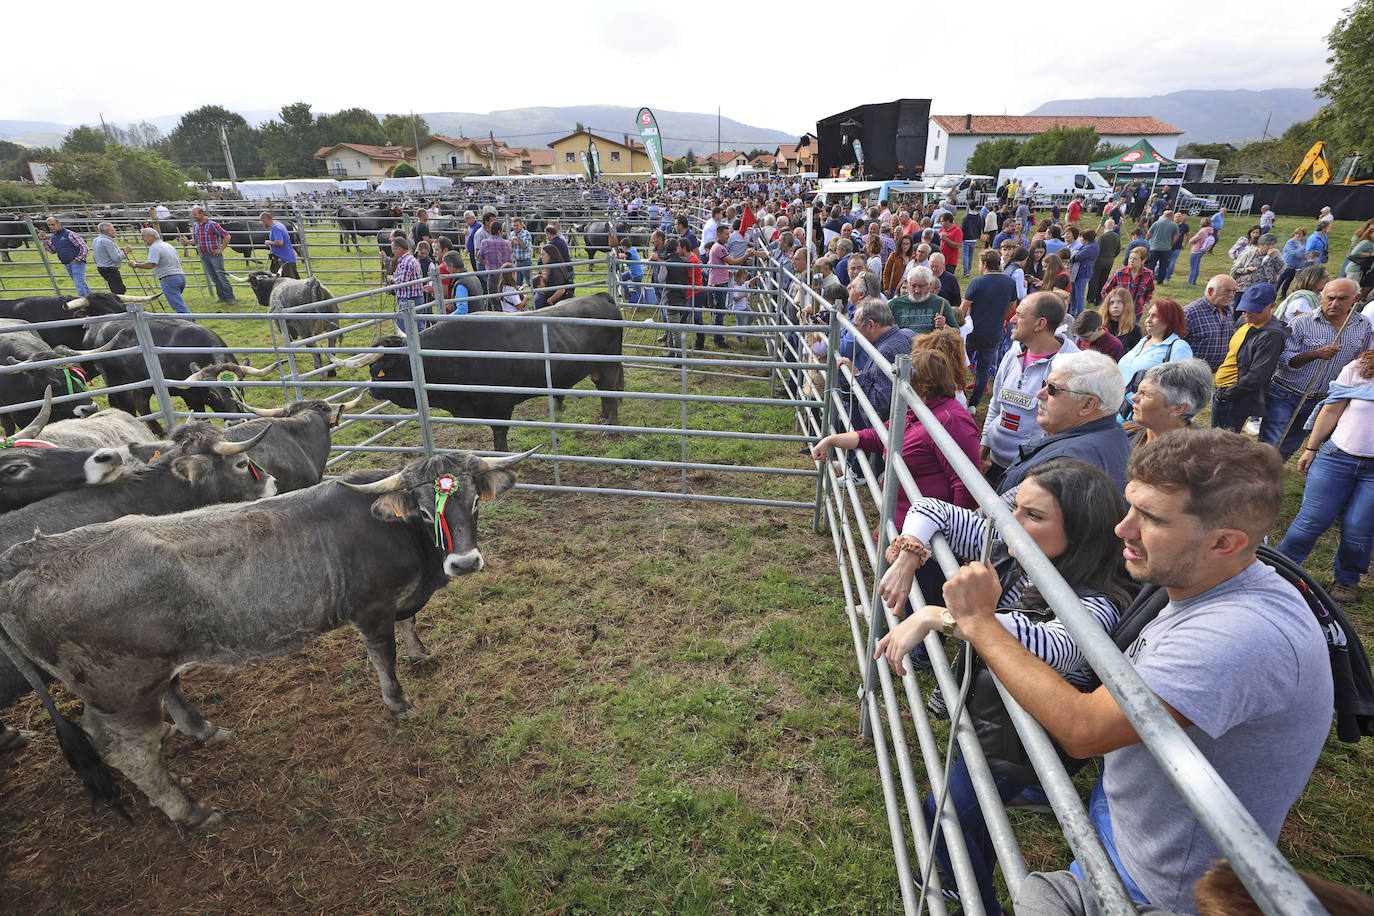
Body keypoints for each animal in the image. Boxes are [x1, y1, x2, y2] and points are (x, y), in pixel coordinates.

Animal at [0, 447, 530, 829]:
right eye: (422, 511)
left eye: (475, 501)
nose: (464, 562)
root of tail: (32, 554)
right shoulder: (371, 610)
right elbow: (385, 659)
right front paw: (400, 703)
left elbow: (411, 626)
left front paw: (421, 654)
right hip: (123, 689)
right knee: (130, 752)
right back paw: (190, 811)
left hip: (129, 683)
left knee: (128, 721)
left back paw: (199, 733)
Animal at [335, 293, 626, 450]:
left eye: (378, 370)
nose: (371, 391)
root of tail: (601, 296)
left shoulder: (500, 406)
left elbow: (499, 436)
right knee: (605, 393)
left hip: (608, 366)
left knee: (611, 393)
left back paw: (612, 430)